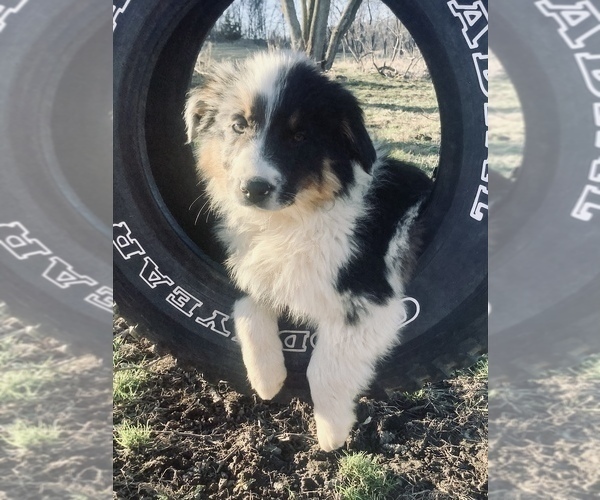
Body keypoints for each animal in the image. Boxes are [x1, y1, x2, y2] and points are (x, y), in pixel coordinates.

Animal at [185, 51, 434, 454]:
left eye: (300, 136)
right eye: (238, 125)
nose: (253, 189)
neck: (295, 218)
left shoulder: (371, 297)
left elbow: (323, 368)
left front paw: (332, 433)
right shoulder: (262, 268)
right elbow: (247, 304)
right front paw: (267, 379)